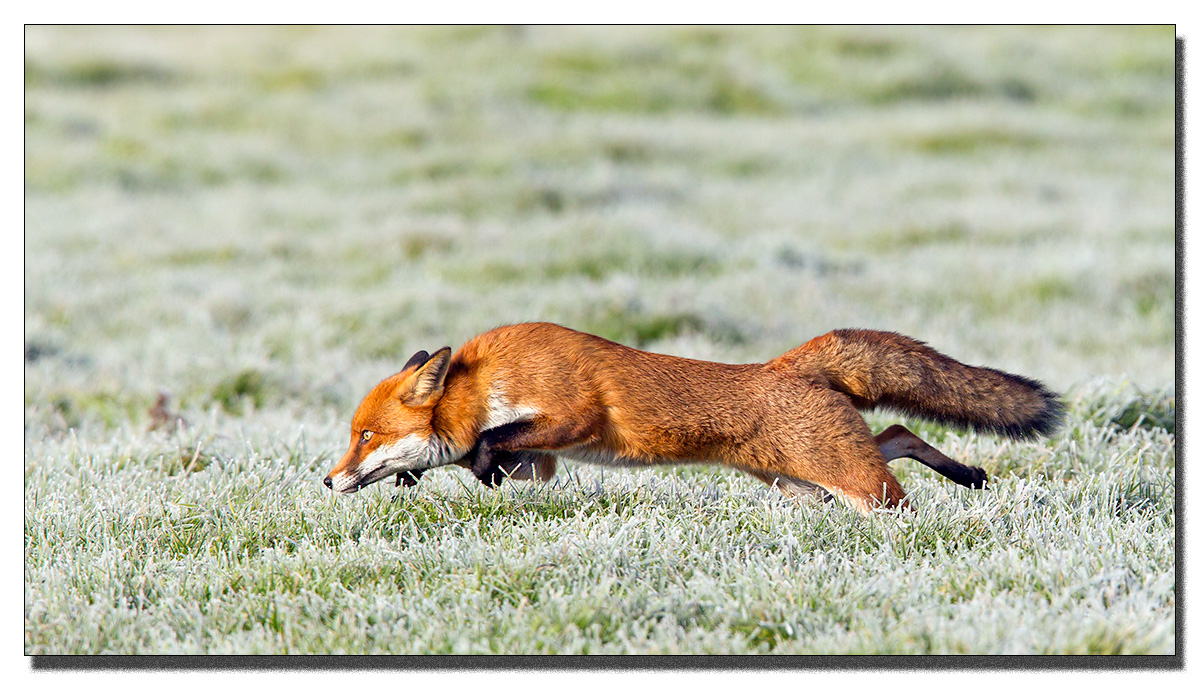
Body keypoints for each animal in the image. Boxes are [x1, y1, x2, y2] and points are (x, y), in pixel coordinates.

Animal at [323, 323, 1063, 512]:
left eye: (366, 435)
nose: (327, 481)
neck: (485, 380)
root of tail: (786, 364)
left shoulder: (576, 415)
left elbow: (485, 445)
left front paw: (474, 469)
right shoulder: (547, 459)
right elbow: (499, 454)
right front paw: (425, 478)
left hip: (852, 482)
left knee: (899, 483)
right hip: (804, 480)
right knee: (900, 432)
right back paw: (967, 473)